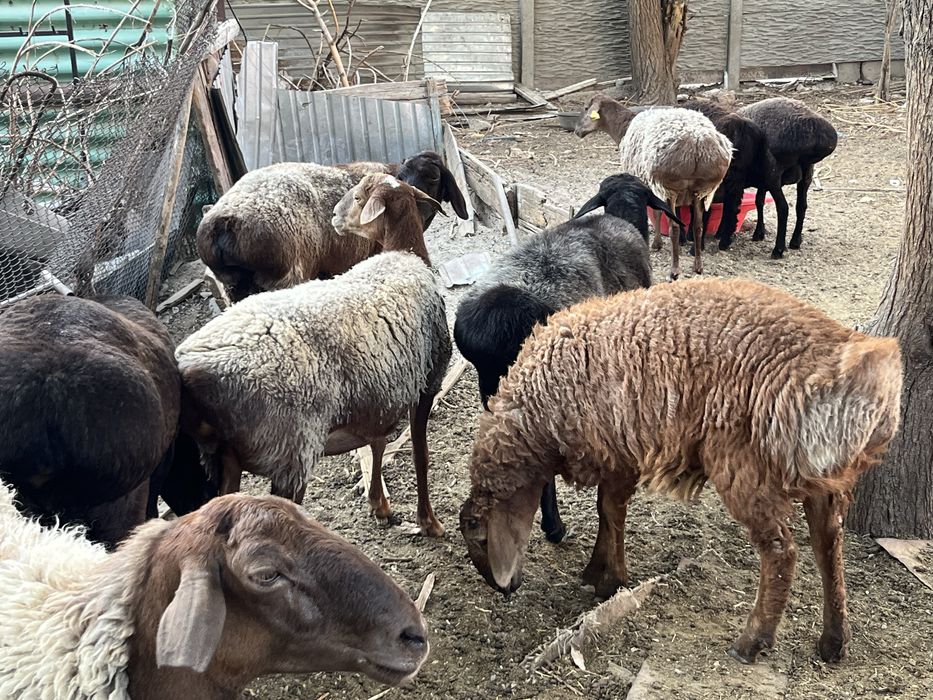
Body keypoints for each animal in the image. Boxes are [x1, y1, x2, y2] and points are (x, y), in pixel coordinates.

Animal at [177, 174, 452, 536]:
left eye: (359, 197)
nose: (334, 215)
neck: (404, 256)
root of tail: (190, 369)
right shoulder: (426, 384)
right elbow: (421, 454)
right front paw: (429, 521)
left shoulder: (379, 394)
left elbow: (377, 444)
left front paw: (379, 504)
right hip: (289, 451)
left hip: (221, 457)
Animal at [459, 277, 902, 665]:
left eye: (480, 538)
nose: (504, 588)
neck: (534, 418)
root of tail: (857, 375)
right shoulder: (619, 453)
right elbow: (609, 511)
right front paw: (598, 571)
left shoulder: (617, 445)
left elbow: (610, 510)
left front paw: (609, 579)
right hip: (820, 474)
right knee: (829, 543)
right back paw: (833, 642)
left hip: (745, 463)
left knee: (781, 550)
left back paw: (752, 640)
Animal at [575, 95, 733, 279]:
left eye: (586, 108)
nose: (577, 131)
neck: (624, 128)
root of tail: (697, 143)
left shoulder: (648, 182)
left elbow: (656, 212)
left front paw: (656, 243)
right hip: (701, 189)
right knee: (698, 226)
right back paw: (698, 266)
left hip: (670, 186)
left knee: (675, 228)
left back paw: (674, 270)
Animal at [737, 97, 838, 256]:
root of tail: (814, 128)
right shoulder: (762, 180)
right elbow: (759, 201)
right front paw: (759, 232)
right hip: (807, 170)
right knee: (801, 206)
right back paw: (795, 241)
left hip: (774, 174)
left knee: (783, 208)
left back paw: (778, 249)